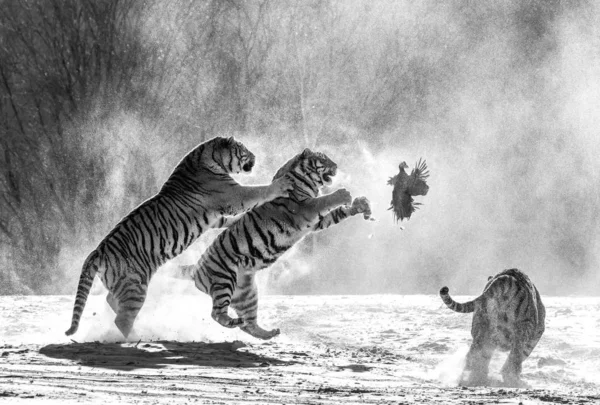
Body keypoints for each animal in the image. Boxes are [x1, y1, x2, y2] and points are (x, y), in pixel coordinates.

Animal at [63, 137, 292, 338]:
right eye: (244, 150)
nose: (255, 157)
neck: (208, 156)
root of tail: (97, 251)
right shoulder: (233, 195)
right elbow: (258, 191)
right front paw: (282, 184)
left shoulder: (215, 217)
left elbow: (226, 220)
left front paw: (239, 221)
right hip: (135, 285)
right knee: (122, 319)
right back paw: (137, 338)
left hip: (123, 284)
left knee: (112, 302)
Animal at [173, 148, 370, 338]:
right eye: (323, 159)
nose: (336, 166)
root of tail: (197, 266)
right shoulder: (305, 209)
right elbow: (325, 200)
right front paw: (343, 193)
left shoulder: (316, 222)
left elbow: (336, 214)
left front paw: (360, 205)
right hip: (223, 280)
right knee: (216, 313)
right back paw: (233, 322)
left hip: (247, 294)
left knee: (248, 324)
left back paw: (268, 333)